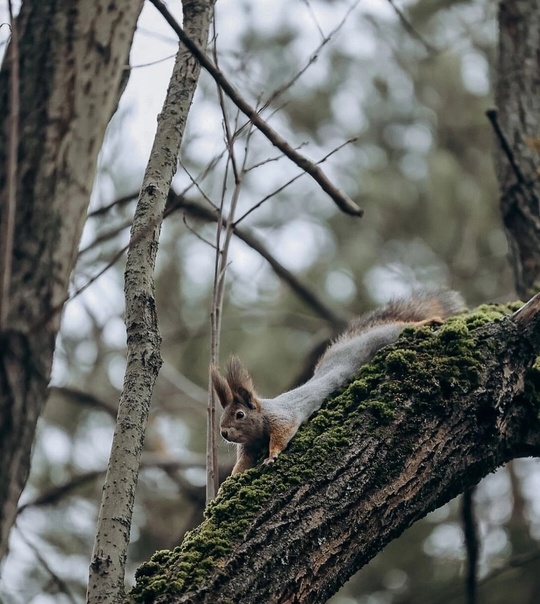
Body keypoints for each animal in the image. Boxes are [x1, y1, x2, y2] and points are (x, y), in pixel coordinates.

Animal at [211, 290, 464, 474]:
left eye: (240, 415)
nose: (223, 433)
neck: (261, 417)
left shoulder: (281, 417)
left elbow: (282, 434)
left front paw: (272, 455)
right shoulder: (247, 447)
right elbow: (242, 463)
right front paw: (229, 480)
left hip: (385, 336)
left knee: (403, 326)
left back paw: (429, 321)